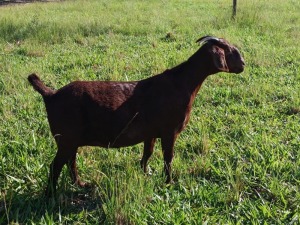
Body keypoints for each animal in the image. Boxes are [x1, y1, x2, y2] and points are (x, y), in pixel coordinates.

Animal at [27, 35, 245, 195]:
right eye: (231, 51)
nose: (243, 64)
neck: (182, 83)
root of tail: (51, 94)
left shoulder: (151, 133)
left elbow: (147, 153)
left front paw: (145, 173)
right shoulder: (169, 132)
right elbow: (168, 158)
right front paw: (169, 182)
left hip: (70, 141)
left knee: (70, 162)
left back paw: (80, 184)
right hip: (66, 138)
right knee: (56, 166)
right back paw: (51, 195)